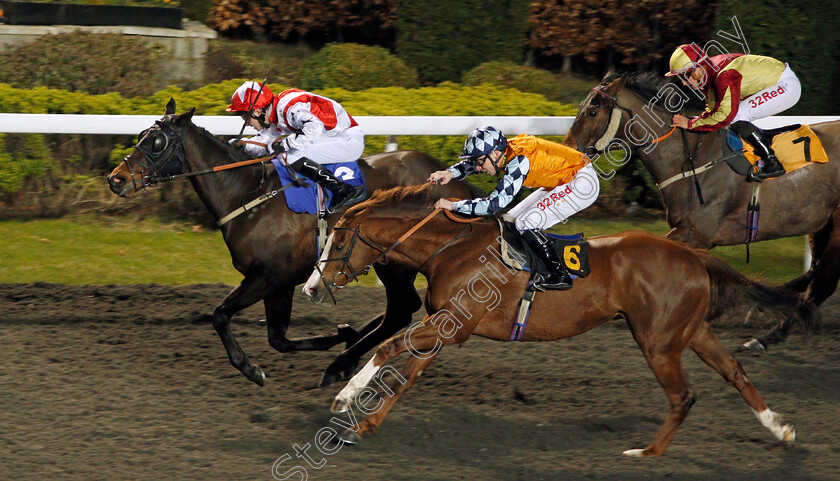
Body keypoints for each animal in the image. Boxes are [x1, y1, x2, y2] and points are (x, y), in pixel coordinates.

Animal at [105, 99, 482, 388]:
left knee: (401, 309)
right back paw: (349, 351)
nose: (115, 179)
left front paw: (252, 370)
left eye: (157, 142)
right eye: (140, 136)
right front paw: (339, 334)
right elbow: (279, 339)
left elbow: (220, 315)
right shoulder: (280, 282)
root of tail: (454, 179)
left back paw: (340, 364)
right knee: (400, 310)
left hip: (393, 261)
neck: (247, 193)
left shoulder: (269, 275)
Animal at [302, 186, 812, 456]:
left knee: (684, 395)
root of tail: (692, 254)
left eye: (338, 242)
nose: (310, 288)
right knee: (734, 372)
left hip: (657, 340)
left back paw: (646, 453)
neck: (452, 248)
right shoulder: (447, 327)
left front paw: (344, 401)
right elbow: (406, 375)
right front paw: (364, 425)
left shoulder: (454, 322)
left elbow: (390, 349)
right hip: (692, 331)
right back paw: (779, 428)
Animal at [564, 70, 840, 348]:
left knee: (823, 282)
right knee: (814, 275)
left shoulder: (695, 234)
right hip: (822, 225)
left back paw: (769, 333)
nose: (569, 151)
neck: (689, 160)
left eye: (592, 112)